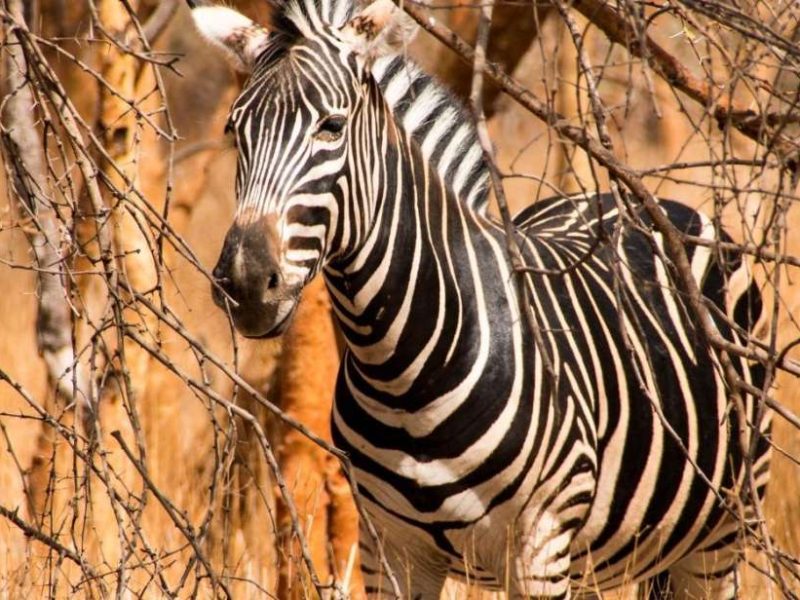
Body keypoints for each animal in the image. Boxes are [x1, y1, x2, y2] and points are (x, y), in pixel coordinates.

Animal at [188, 0, 768, 596]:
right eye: (235, 131)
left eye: (331, 127)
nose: (245, 282)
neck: (401, 370)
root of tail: (652, 204)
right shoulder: (389, 549)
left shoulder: (541, 547)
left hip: (723, 530)